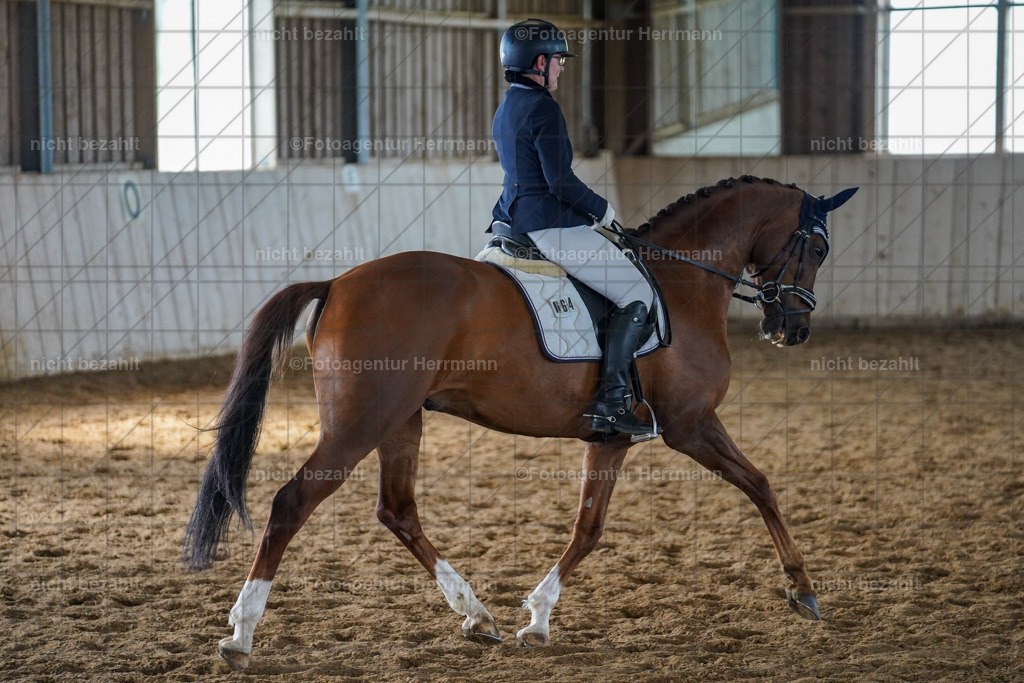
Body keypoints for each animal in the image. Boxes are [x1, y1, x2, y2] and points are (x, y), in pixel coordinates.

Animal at [182, 175, 858, 670]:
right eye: (818, 248)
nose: (792, 330)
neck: (682, 282)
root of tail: (339, 281)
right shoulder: (691, 425)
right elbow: (760, 484)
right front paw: (802, 589)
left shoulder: (613, 437)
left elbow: (589, 528)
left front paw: (537, 618)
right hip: (359, 424)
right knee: (293, 502)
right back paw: (240, 634)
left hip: (399, 420)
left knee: (397, 510)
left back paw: (476, 615)